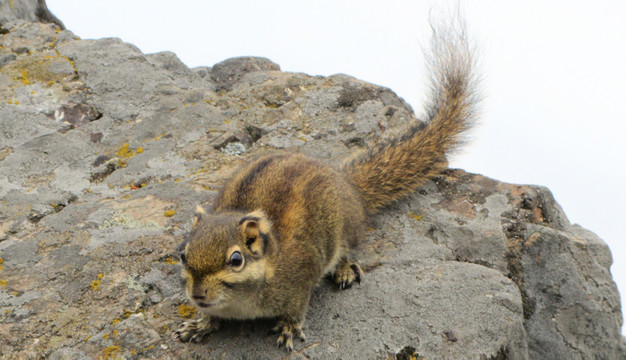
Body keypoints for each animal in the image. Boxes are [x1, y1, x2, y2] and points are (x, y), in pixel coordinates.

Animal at [173, 19, 476, 352]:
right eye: (183, 255)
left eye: (236, 260)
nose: (197, 295)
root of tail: (346, 184)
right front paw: (199, 324)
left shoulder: (300, 280)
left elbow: (296, 308)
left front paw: (289, 328)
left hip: (343, 232)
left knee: (346, 250)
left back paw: (344, 269)